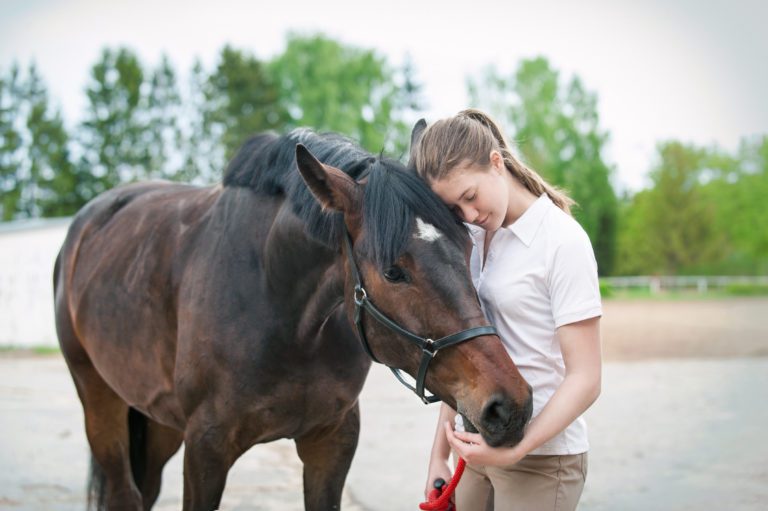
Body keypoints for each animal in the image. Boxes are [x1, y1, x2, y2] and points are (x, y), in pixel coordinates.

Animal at [53, 124, 533, 510]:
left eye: (468, 248)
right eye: (393, 271)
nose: (509, 405)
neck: (277, 304)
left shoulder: (332, 440)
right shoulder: (206, 446)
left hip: (157, 419)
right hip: (100, 401)